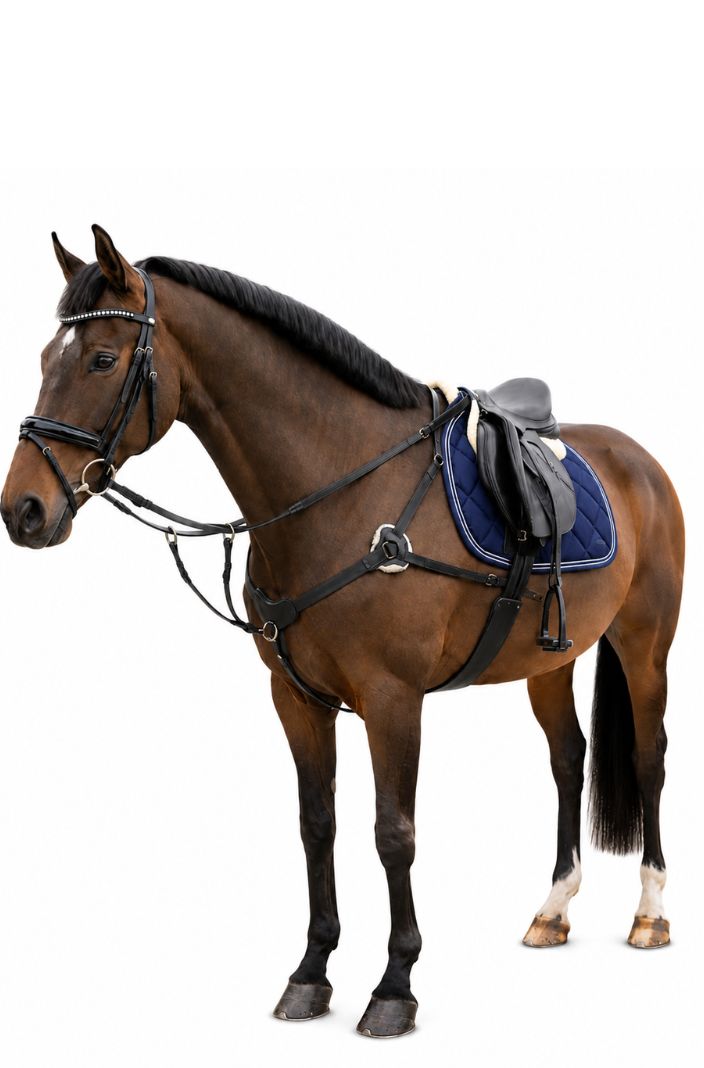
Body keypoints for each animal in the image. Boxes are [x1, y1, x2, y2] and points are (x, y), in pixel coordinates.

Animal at [0, 225, 685, 1038]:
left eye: (102, 359)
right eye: (47, 358)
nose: (23, 510)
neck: (340, 490)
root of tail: (638, 460)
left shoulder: (393, 700)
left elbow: (393, 833)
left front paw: (394, 985)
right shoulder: (297, 698)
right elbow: (316, 825)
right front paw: (311, 971)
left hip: (645, 646)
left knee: (647, 758)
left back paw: (650, 913)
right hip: (551, 660)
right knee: (568, 759)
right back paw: (552, 910)